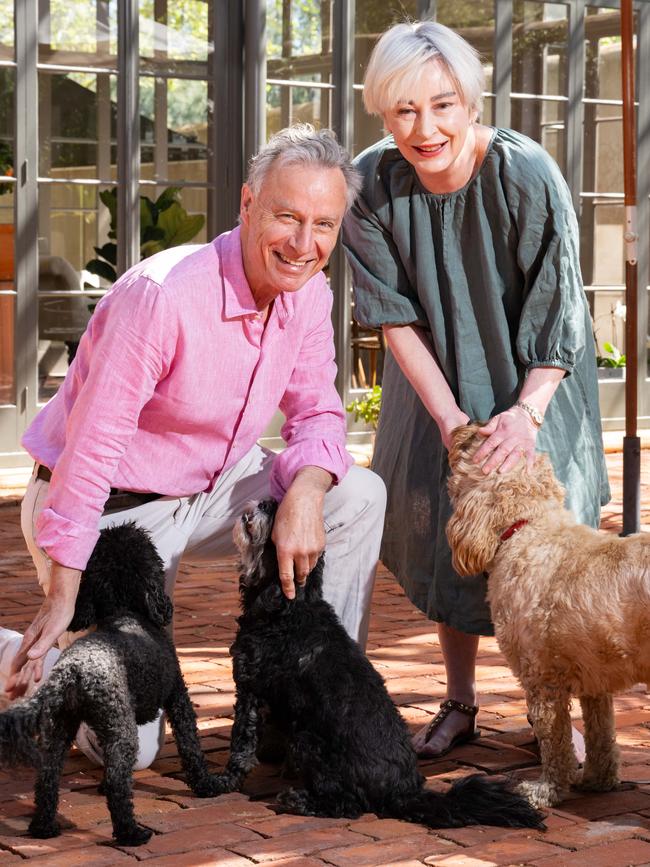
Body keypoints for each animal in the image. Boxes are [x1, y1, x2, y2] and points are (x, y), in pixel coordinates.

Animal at [0, 524, 220, 844]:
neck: (123, 610)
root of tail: (72, 670)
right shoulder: (178, 695)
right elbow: (189, 743)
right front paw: (205, 784)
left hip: (62, 726)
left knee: (47, 777)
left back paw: (43, 827)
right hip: (121, 727)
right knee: (118, 779)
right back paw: (131, 832)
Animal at [210, 498, 544, 832]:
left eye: (281, 521)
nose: (268, 501)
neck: (289, 608)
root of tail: (404, 790)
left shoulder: (250, 689)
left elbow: (241, 746)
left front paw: (223, 782)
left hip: (309, 739)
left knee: (348, 804)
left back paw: (299, 800)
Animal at [442, 424, 648, 812]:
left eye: (478, 443)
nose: (466, 424)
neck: (529, 528)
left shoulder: (541, 679)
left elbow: (555, 741)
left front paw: (545, 790)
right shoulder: (596, 677)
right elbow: (601, 734)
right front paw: (598, 781)